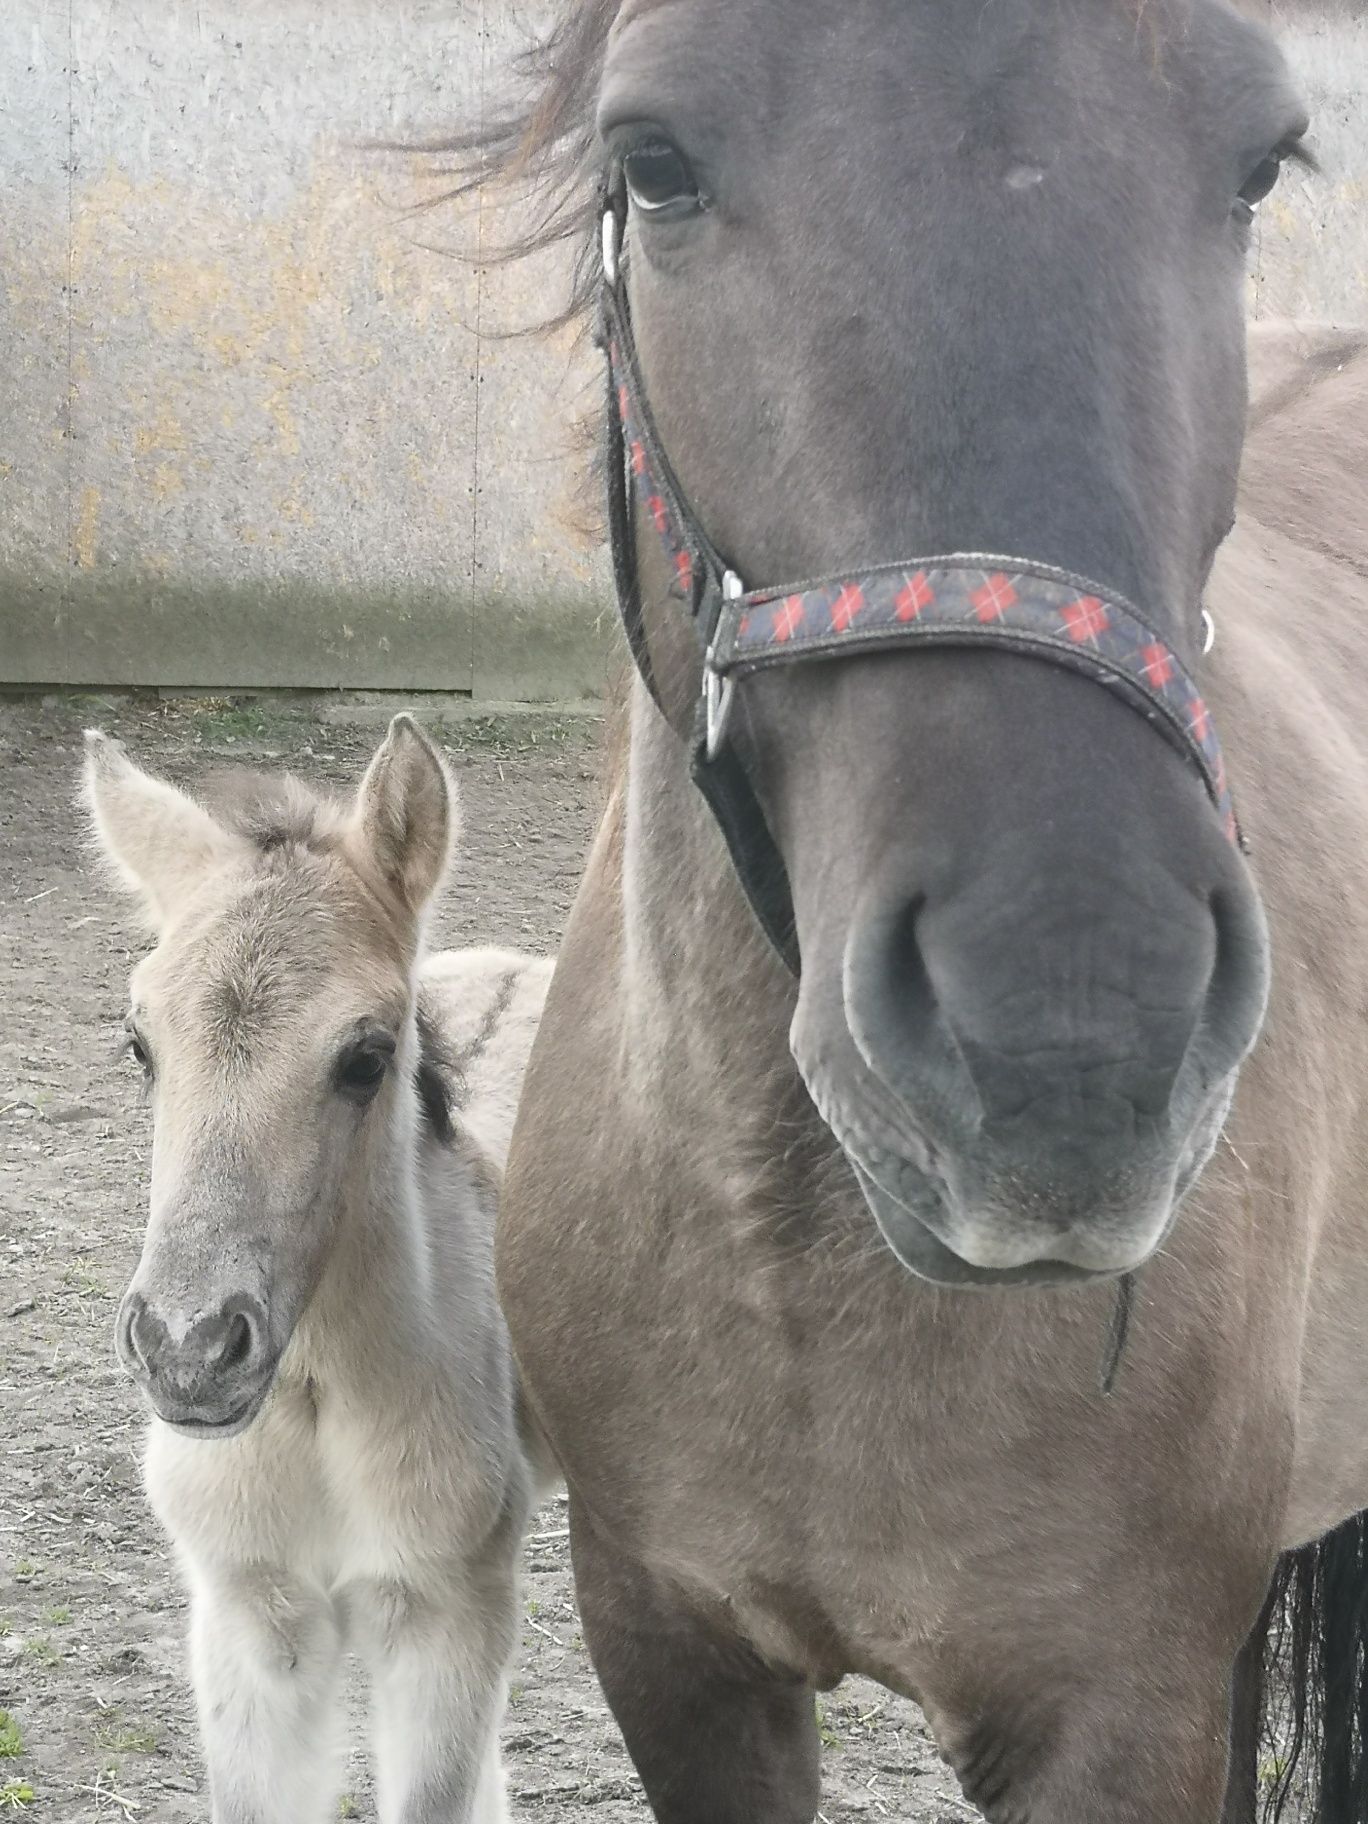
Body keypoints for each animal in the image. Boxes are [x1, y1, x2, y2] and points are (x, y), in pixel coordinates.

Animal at [85, 718, 550, 1824]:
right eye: (138, 1043)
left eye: (367, 1057)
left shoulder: (442, 1611)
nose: (188, 1352)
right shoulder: (250, 1615)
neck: (318, 1400)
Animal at [452, 3, 1368, 1824]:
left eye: (1256, 162)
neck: (790, 1273)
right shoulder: (670, 1648)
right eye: (652, 156)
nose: (1071, 1045)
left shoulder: (1119, 1707)